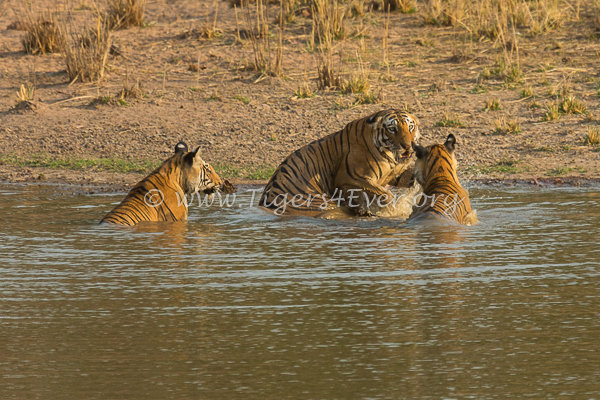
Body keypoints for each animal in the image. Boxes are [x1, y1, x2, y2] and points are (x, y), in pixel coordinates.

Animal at [258, 108, 422, 216]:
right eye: (392, 129)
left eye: (410, 127)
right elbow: (384, 194)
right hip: (321, 205)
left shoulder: (395, 173)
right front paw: (391, 211)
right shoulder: (350, 178)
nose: (408, 146)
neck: (389, 155)